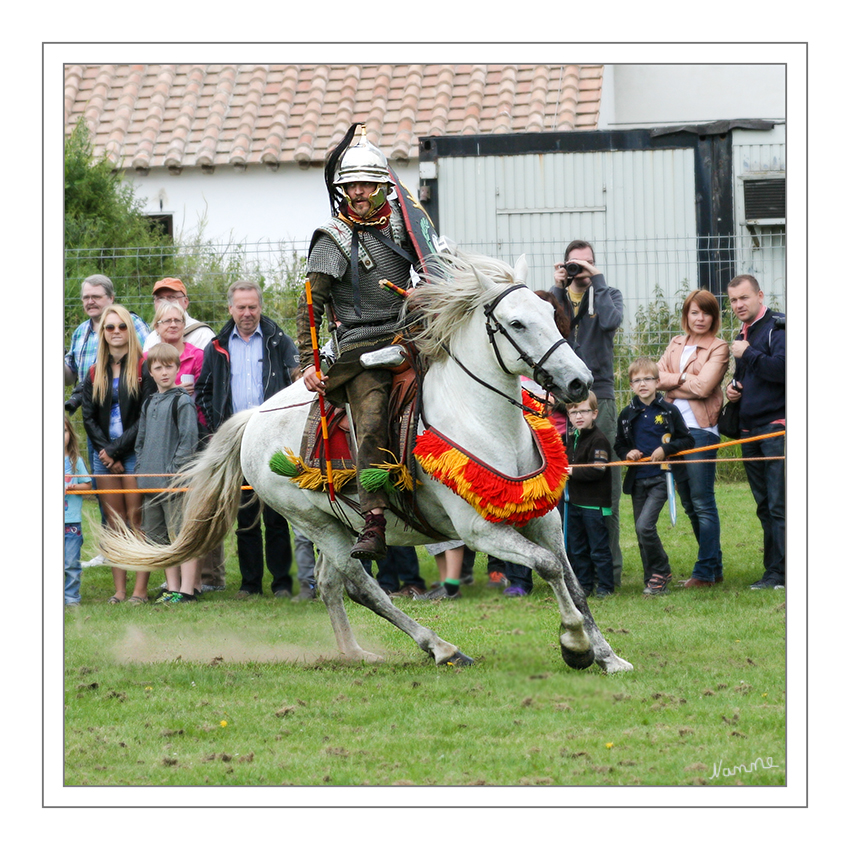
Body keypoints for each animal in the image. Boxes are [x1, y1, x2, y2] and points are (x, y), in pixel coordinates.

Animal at [97, 248, 628, 672]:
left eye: (550, 313)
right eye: (517, 323)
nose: (578, 382)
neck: (482, 419)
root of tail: (253, 418)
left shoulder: (543, 518)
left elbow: (571, 579)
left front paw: (607, 656)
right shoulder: (480, 529)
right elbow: (550, 569)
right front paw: (575, 644)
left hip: (336, 525)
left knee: (334, 586)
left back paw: (356, 652)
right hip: (316, 523)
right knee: (357, 585)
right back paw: (439, 647)